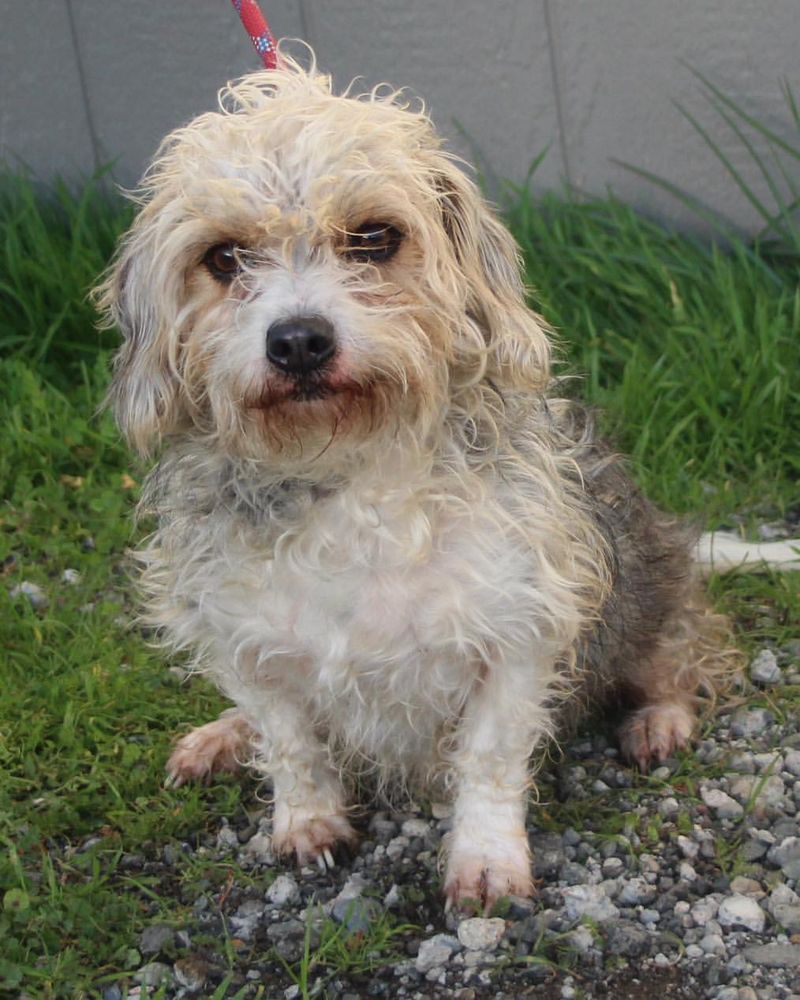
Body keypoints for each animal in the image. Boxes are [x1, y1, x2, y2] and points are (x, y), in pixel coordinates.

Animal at [95, 56, 736, 916]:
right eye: (224, 258)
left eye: (373, 237)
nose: (299, 341)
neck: (345, 473)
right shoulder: (242, 638)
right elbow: (290, 740)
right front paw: (306, 819)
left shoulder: (520, 628)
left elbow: (491, 760)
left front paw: (487, 862)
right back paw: (223, 738)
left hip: (650, 582)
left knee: (682, 654)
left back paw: (659, 720)